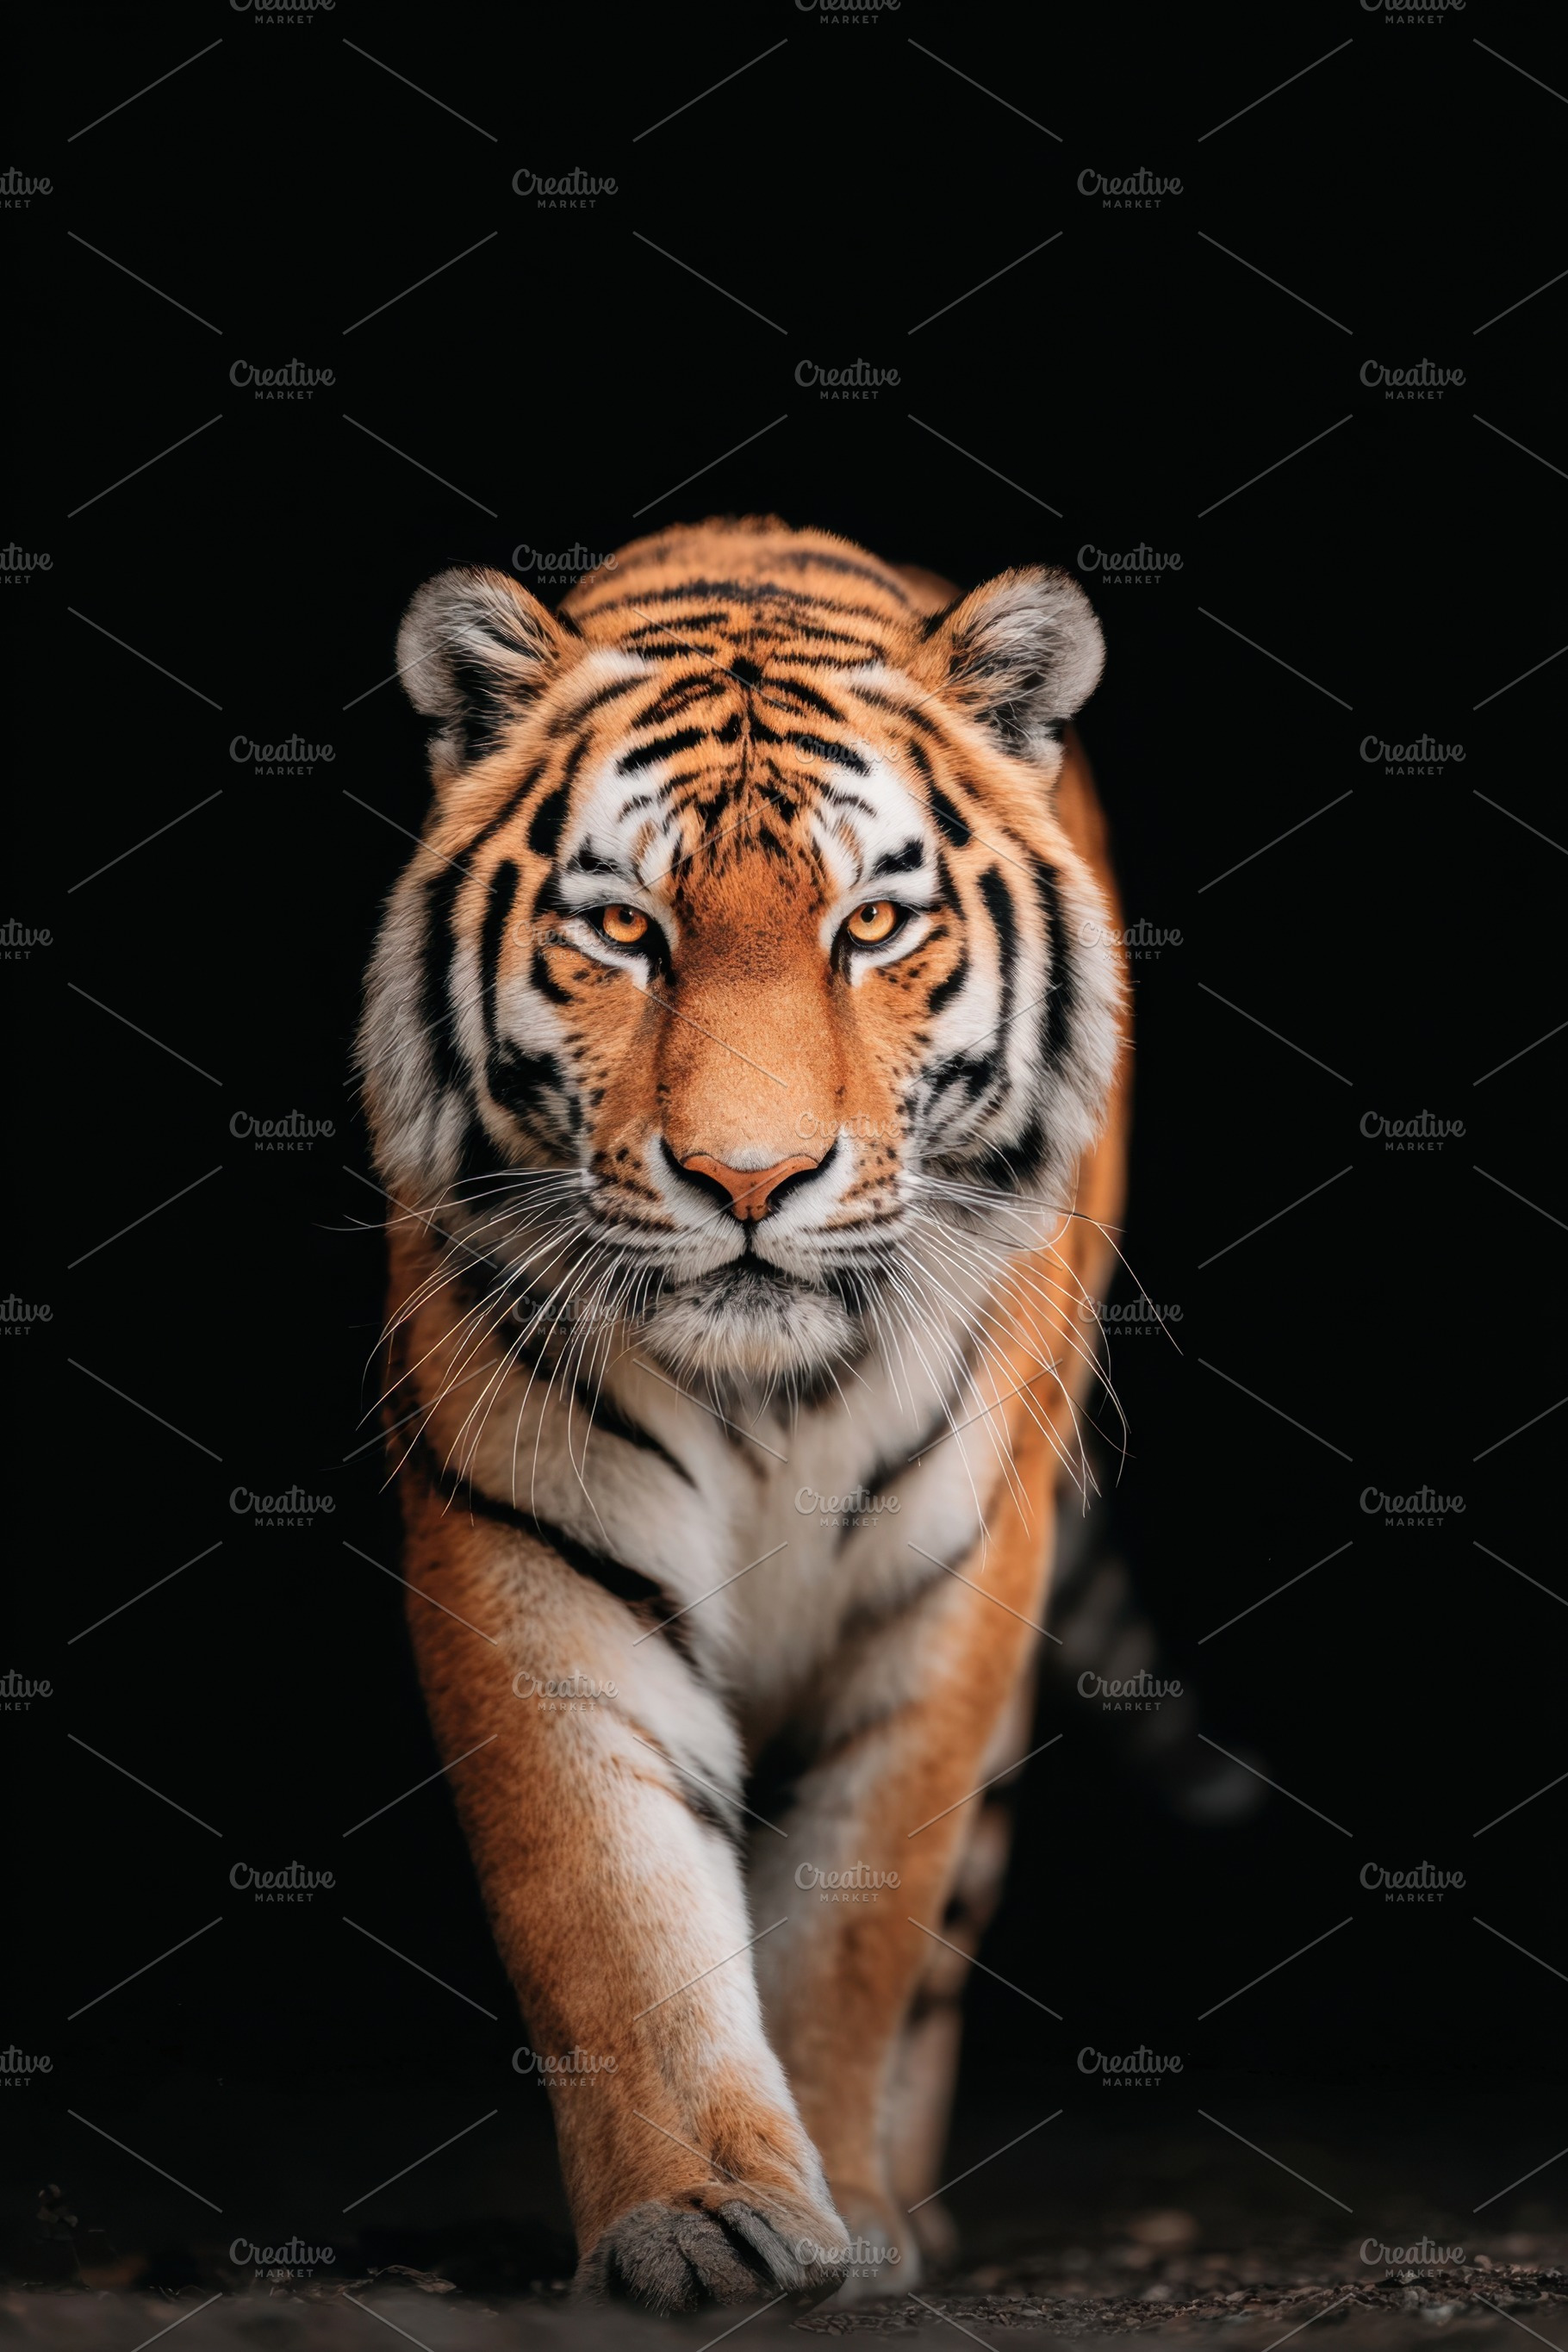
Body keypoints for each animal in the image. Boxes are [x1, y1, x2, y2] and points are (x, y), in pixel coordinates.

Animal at [357, 514, 1130, 2313]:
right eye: (629, 932)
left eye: (874, 925)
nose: (753, 1180)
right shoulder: (531, 1552)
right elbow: (613, 1910)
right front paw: (703, 2220)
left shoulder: (951, 1585)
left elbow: (862, 1918)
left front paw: (852, 2211)